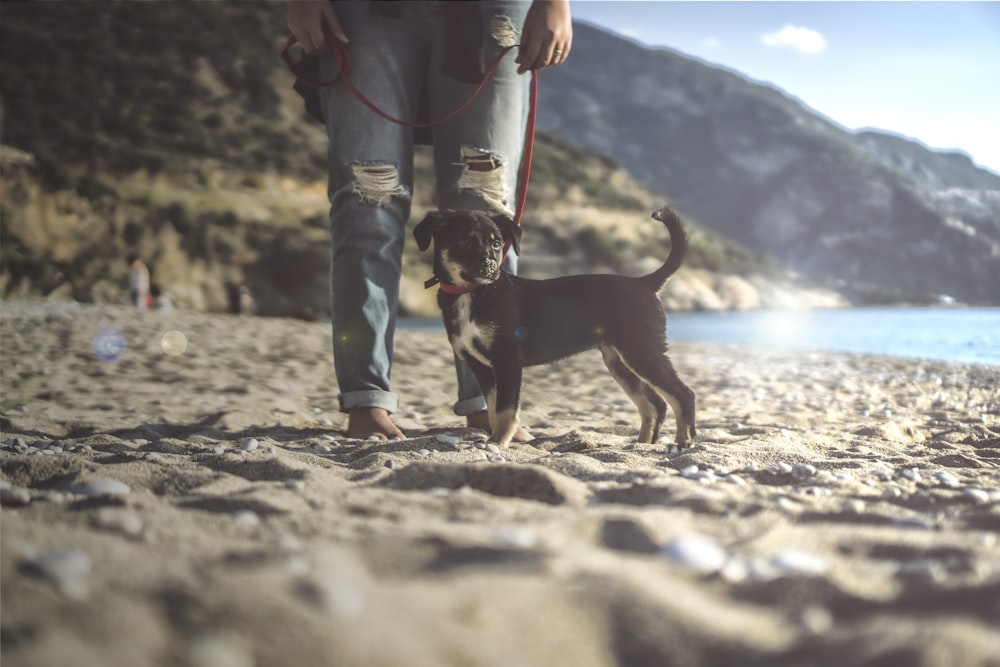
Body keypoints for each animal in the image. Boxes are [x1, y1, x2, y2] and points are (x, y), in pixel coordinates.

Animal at [414, 206, 696, 452]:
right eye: (464, 240)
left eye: (496, 243)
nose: (490, 267)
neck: (473, 293)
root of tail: (645, 283)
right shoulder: (481, 366)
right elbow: (493, 408)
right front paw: (495, 439)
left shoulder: (507, 359)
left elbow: (505, 408)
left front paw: (498, 442)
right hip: (619, 361)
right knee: (654, 404)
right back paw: (642, 443)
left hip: (641, 350)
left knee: (683, 394)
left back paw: (682, 442)